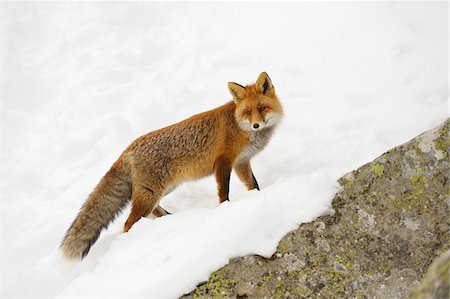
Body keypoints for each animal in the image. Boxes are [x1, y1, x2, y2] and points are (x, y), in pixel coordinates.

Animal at [61, 72, 284, 260]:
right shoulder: (223, 162)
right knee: (128, 223)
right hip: (151, 193)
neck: (240, 126)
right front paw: (224, 210)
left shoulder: (241, 162)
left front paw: (259, 196)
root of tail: (129, 148)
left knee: (153, 212)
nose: (256, 125)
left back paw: (170, 222)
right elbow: (224, 193)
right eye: (247, 112)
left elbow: (253, 185)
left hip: (161, 191)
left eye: (262, 108)